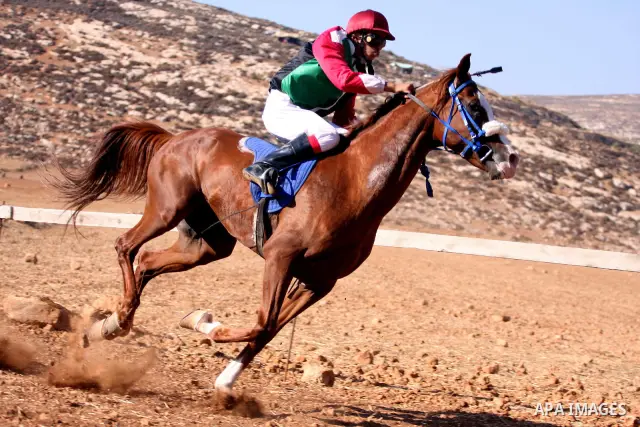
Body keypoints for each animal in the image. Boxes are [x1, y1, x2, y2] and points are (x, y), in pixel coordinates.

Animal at [53, 53, 520, 393]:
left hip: (206, 243)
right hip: (168, 209)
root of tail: (174, 138)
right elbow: (262, 321)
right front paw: (207, 324)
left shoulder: (320, 280)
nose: (511, 159)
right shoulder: (280, 256)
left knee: (148, 261)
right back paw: (117, 318)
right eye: (474, 105)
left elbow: (270, 330)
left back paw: (113, 323)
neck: (355, 182)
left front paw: (224, 379)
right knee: (125, 245)